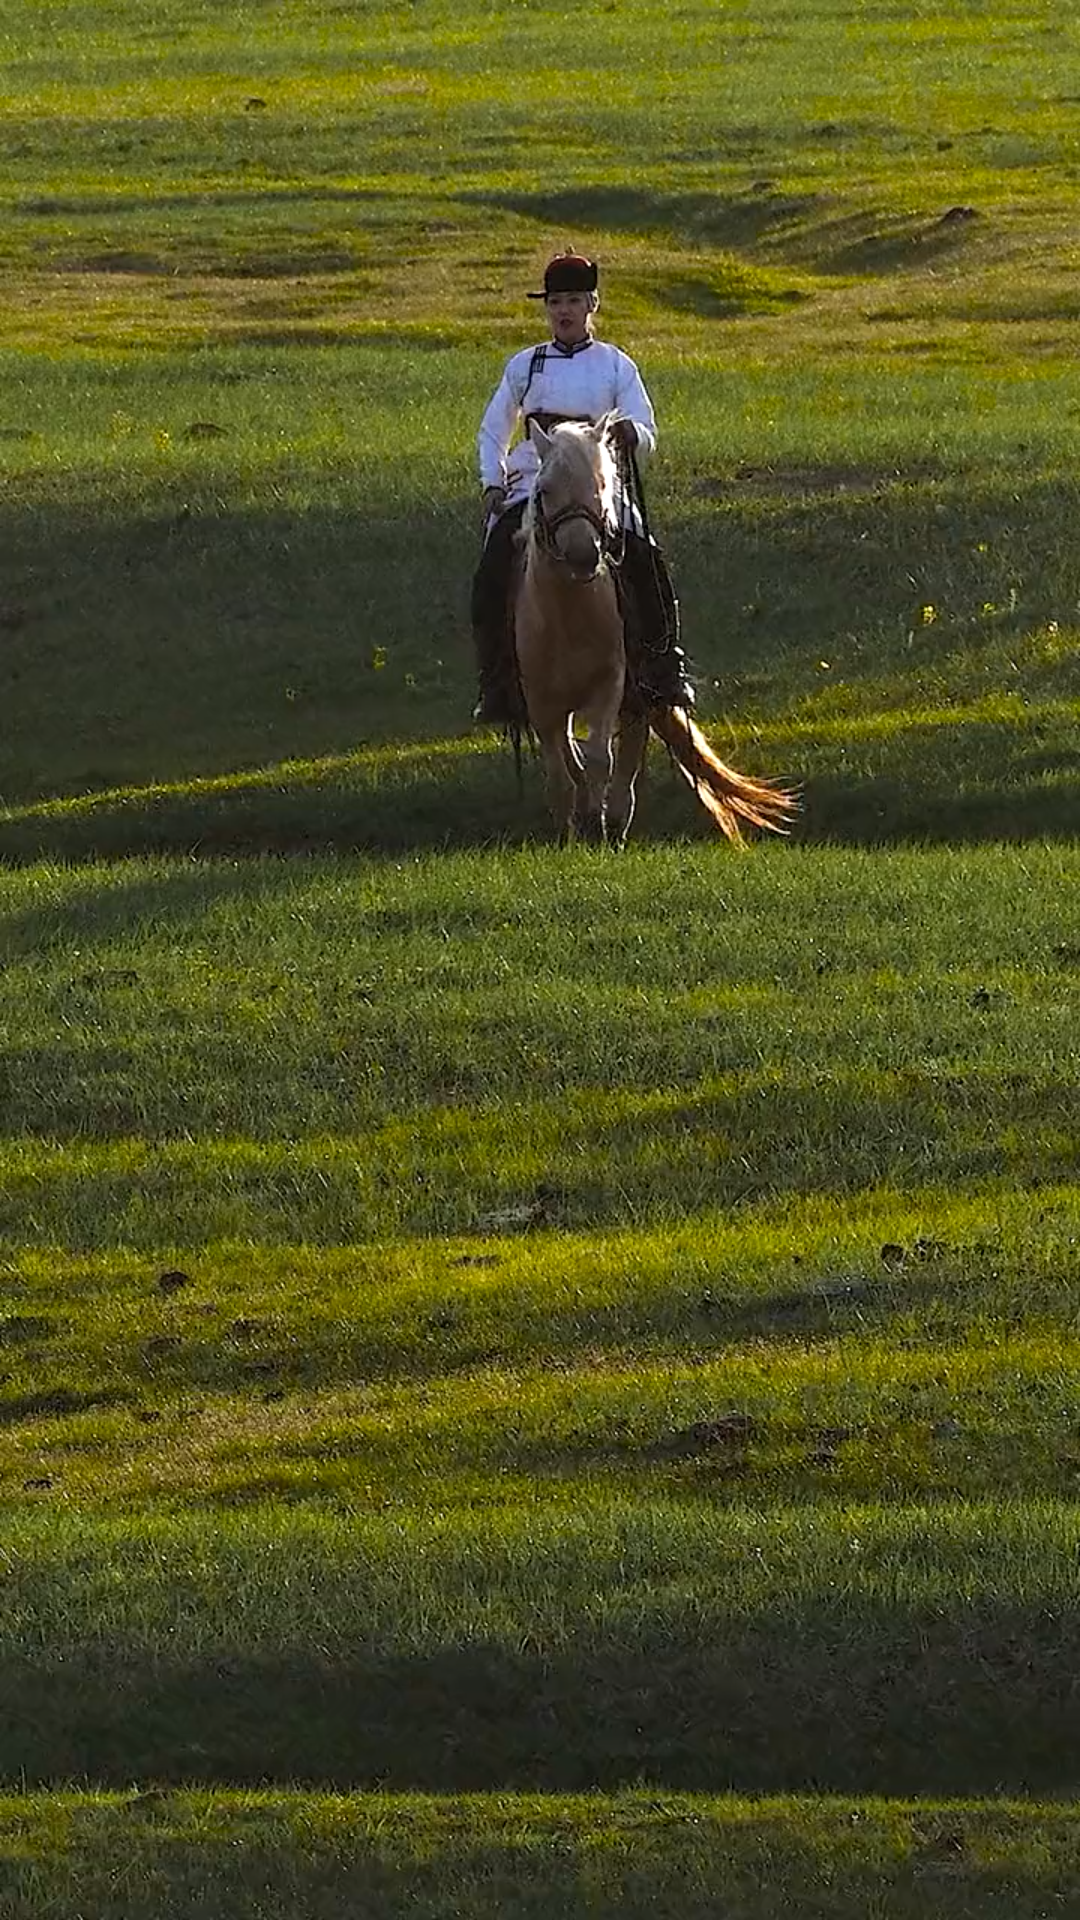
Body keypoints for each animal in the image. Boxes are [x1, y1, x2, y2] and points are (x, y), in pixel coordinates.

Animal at [507, 420, 795, 848]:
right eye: (543, 489)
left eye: (604, 485)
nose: (583, 555)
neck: (568, 618)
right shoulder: (541, 699)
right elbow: (562, 769)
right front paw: (569, 831)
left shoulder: (610, 686)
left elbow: (600, 759)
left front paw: (595, 824)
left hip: (640, 696)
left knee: (626, 758)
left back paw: (615, 825)